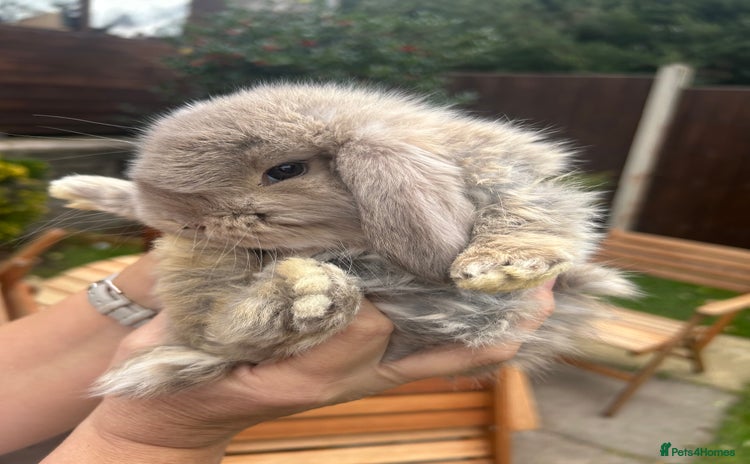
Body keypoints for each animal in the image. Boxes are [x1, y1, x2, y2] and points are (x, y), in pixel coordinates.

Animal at [50, 82, 634, 398]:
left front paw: (502, 268)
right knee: (215, 330)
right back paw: (303, 297)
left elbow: (526, 216)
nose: (184, 222)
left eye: (285, 170)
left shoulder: (518, 184)